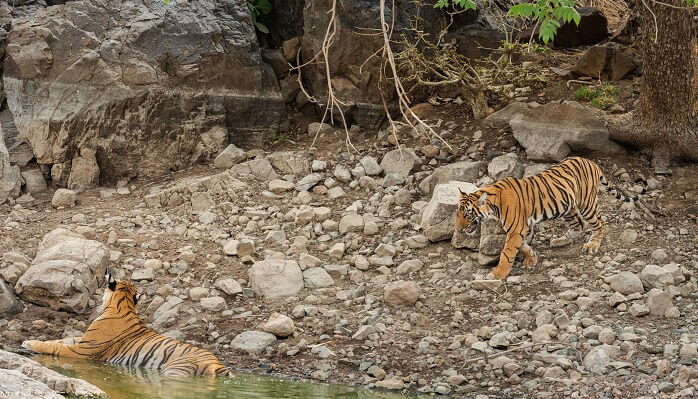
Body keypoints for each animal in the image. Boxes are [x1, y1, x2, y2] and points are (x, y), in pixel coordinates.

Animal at [21, 272, 228, 378]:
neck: (123, 305)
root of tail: (217, 364)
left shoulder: (82, 351)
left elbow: (56, 347)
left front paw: (30, 343)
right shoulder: (82, 341)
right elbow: (63, 339)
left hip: (175, 370)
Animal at [454, 156, 644, 282]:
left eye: (467, 214)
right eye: (458, 214)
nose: (458, 229)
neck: (494, 206)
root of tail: (591, 162)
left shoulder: (515, 229)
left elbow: (507, 252)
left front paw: (497, 274)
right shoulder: (523, 227)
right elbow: (523, 246)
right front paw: (531, 258)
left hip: (586, 203)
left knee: (599, 223)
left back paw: (593, 245)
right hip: (567, 207)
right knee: (579, 224)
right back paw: (560, 240)